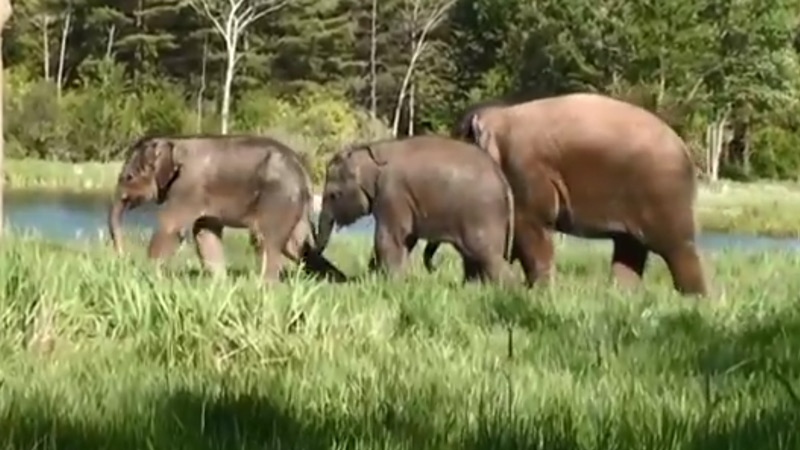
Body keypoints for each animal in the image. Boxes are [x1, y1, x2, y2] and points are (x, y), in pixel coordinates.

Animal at [104, 132, 346, 284]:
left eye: (129, 176)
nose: (123, 258)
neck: (174, 141)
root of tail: (304, 172)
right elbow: (204, 231)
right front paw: (219, 282)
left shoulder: (187, 187)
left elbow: (171, 227)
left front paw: (145, 275)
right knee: (295, 246)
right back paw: (335, 279)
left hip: (278, 198)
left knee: (265, 240)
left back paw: (265, 286)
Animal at [312, 134, 512, 284]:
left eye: (333, 195)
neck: (371, 152)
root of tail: (503, 180)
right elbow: (407, 240)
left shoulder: (392, 195)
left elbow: (387, 239)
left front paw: (391, 283)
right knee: (472, 257)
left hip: (482, 215)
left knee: (486, 254)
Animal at [450, 92, 708, 296]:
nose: (467, 287)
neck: (499, 117)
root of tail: (685, 151)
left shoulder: (524, 170)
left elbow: (531, 225)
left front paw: (540, 293)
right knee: (629, 248)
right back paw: (620, 297)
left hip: (663, 193)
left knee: (677, 249)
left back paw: (696, 300)